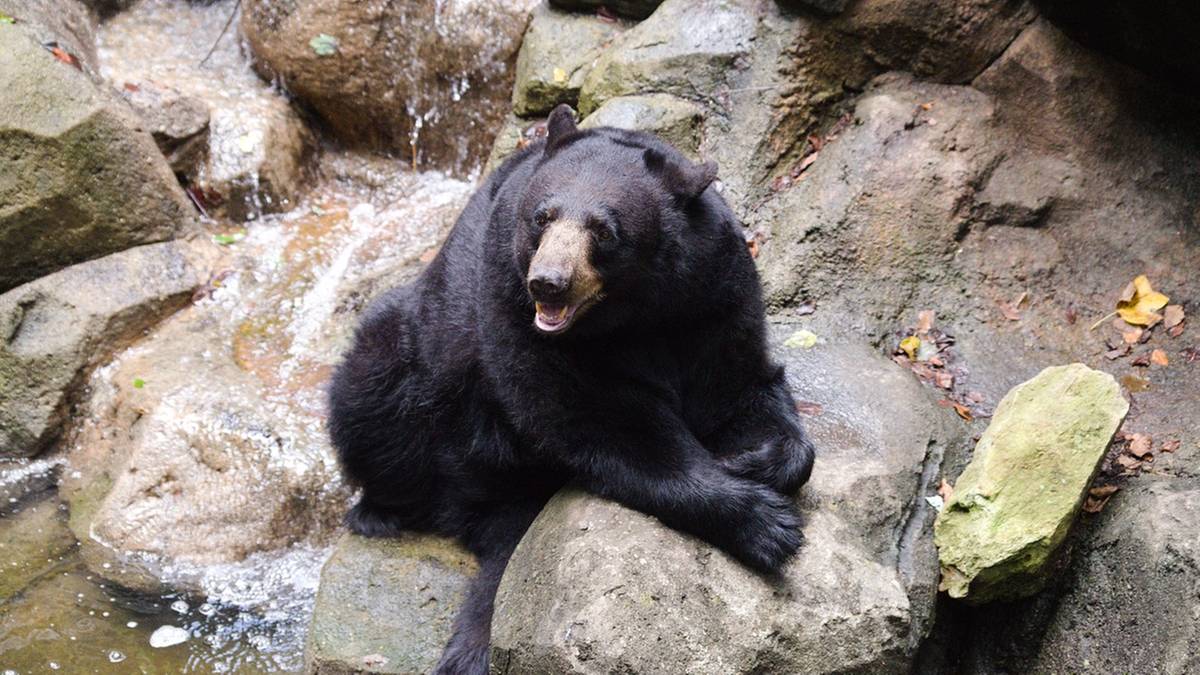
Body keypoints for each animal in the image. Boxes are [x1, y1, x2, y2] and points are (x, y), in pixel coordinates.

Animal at [326, 105, 816, 672]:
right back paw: (378, 511)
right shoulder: (508, 300)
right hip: (419, 359)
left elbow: (738, 385)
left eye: (604, 230)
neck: (632, 315)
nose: (549, 282)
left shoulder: (714, 291)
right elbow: (597, 421)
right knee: (371, 397)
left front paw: (759, 459)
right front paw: (765, 523)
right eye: (542, 217)